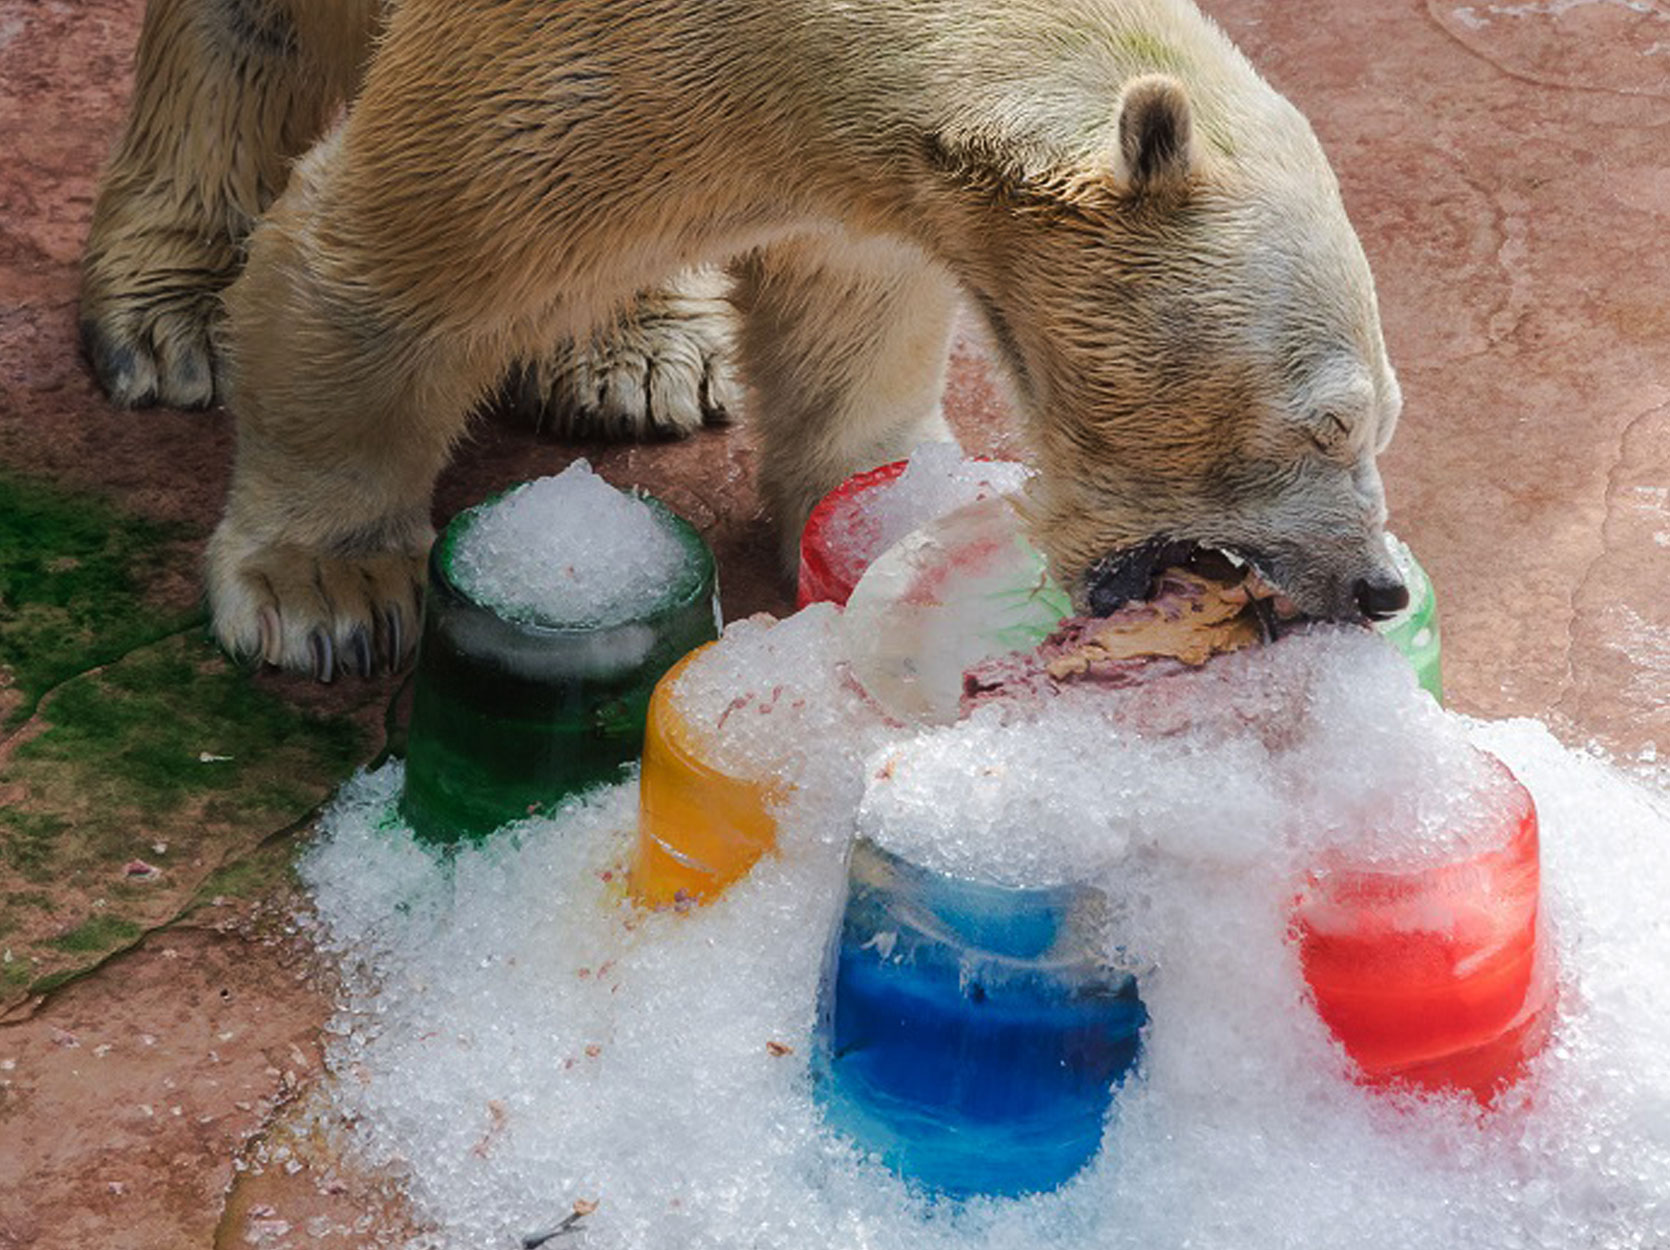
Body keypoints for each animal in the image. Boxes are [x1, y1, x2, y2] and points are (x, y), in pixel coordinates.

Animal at [84, 0, 1409, 677]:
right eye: (1330, 417)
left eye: (1383, 417)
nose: (1377, 585)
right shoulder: (564, 71)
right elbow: (380, 265)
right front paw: (328, 595)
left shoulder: (837, 176)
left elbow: (850, 311)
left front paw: (889, 495)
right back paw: (169, 311)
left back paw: (644, 355)